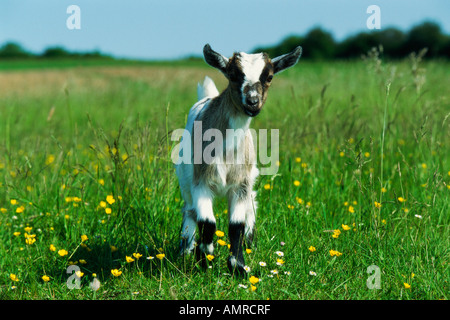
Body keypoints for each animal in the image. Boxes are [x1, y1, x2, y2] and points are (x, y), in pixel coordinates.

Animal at [176, 42, 302, 276]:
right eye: (233, 74)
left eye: (269, 76)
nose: (252, 102)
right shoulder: (201, 182)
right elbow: (208, 223)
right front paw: (204, 257)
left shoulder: (240, 185)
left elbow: (236, 226)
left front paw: (238, 266)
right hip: (185, 179)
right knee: (189, 211)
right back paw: (185, 249)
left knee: (252, 204)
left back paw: (249, 244)